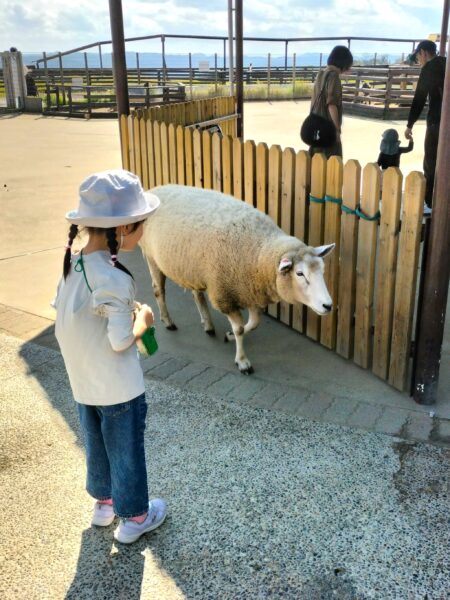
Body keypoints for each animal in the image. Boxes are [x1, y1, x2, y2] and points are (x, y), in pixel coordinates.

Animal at [141, 183, 334, 372]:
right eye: (300, 273)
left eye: (323, 270)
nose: (328, 305)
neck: (259, 252)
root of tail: (154, 189)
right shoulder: (225, 296)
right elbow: (240, 329)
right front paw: (242, 361)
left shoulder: (251, 293)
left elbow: (253, 324)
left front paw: (229, 336)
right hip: (152, 257)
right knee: (158, 291)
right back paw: (168, 321)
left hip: (192, 269)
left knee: (197, 294)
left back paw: (208, 324)